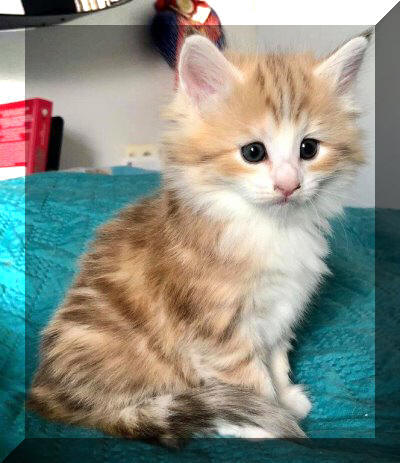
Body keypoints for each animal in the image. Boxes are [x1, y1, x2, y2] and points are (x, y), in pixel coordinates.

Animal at [28, 30, 371, 443]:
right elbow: (250, 381)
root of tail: (45, 395)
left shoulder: (280, 309)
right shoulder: (219, 329)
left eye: (309, 148)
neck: (268, 228)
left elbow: (275, 358)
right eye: (253, 152)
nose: (289, 185)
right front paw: (268, 423)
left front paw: (286, 396)